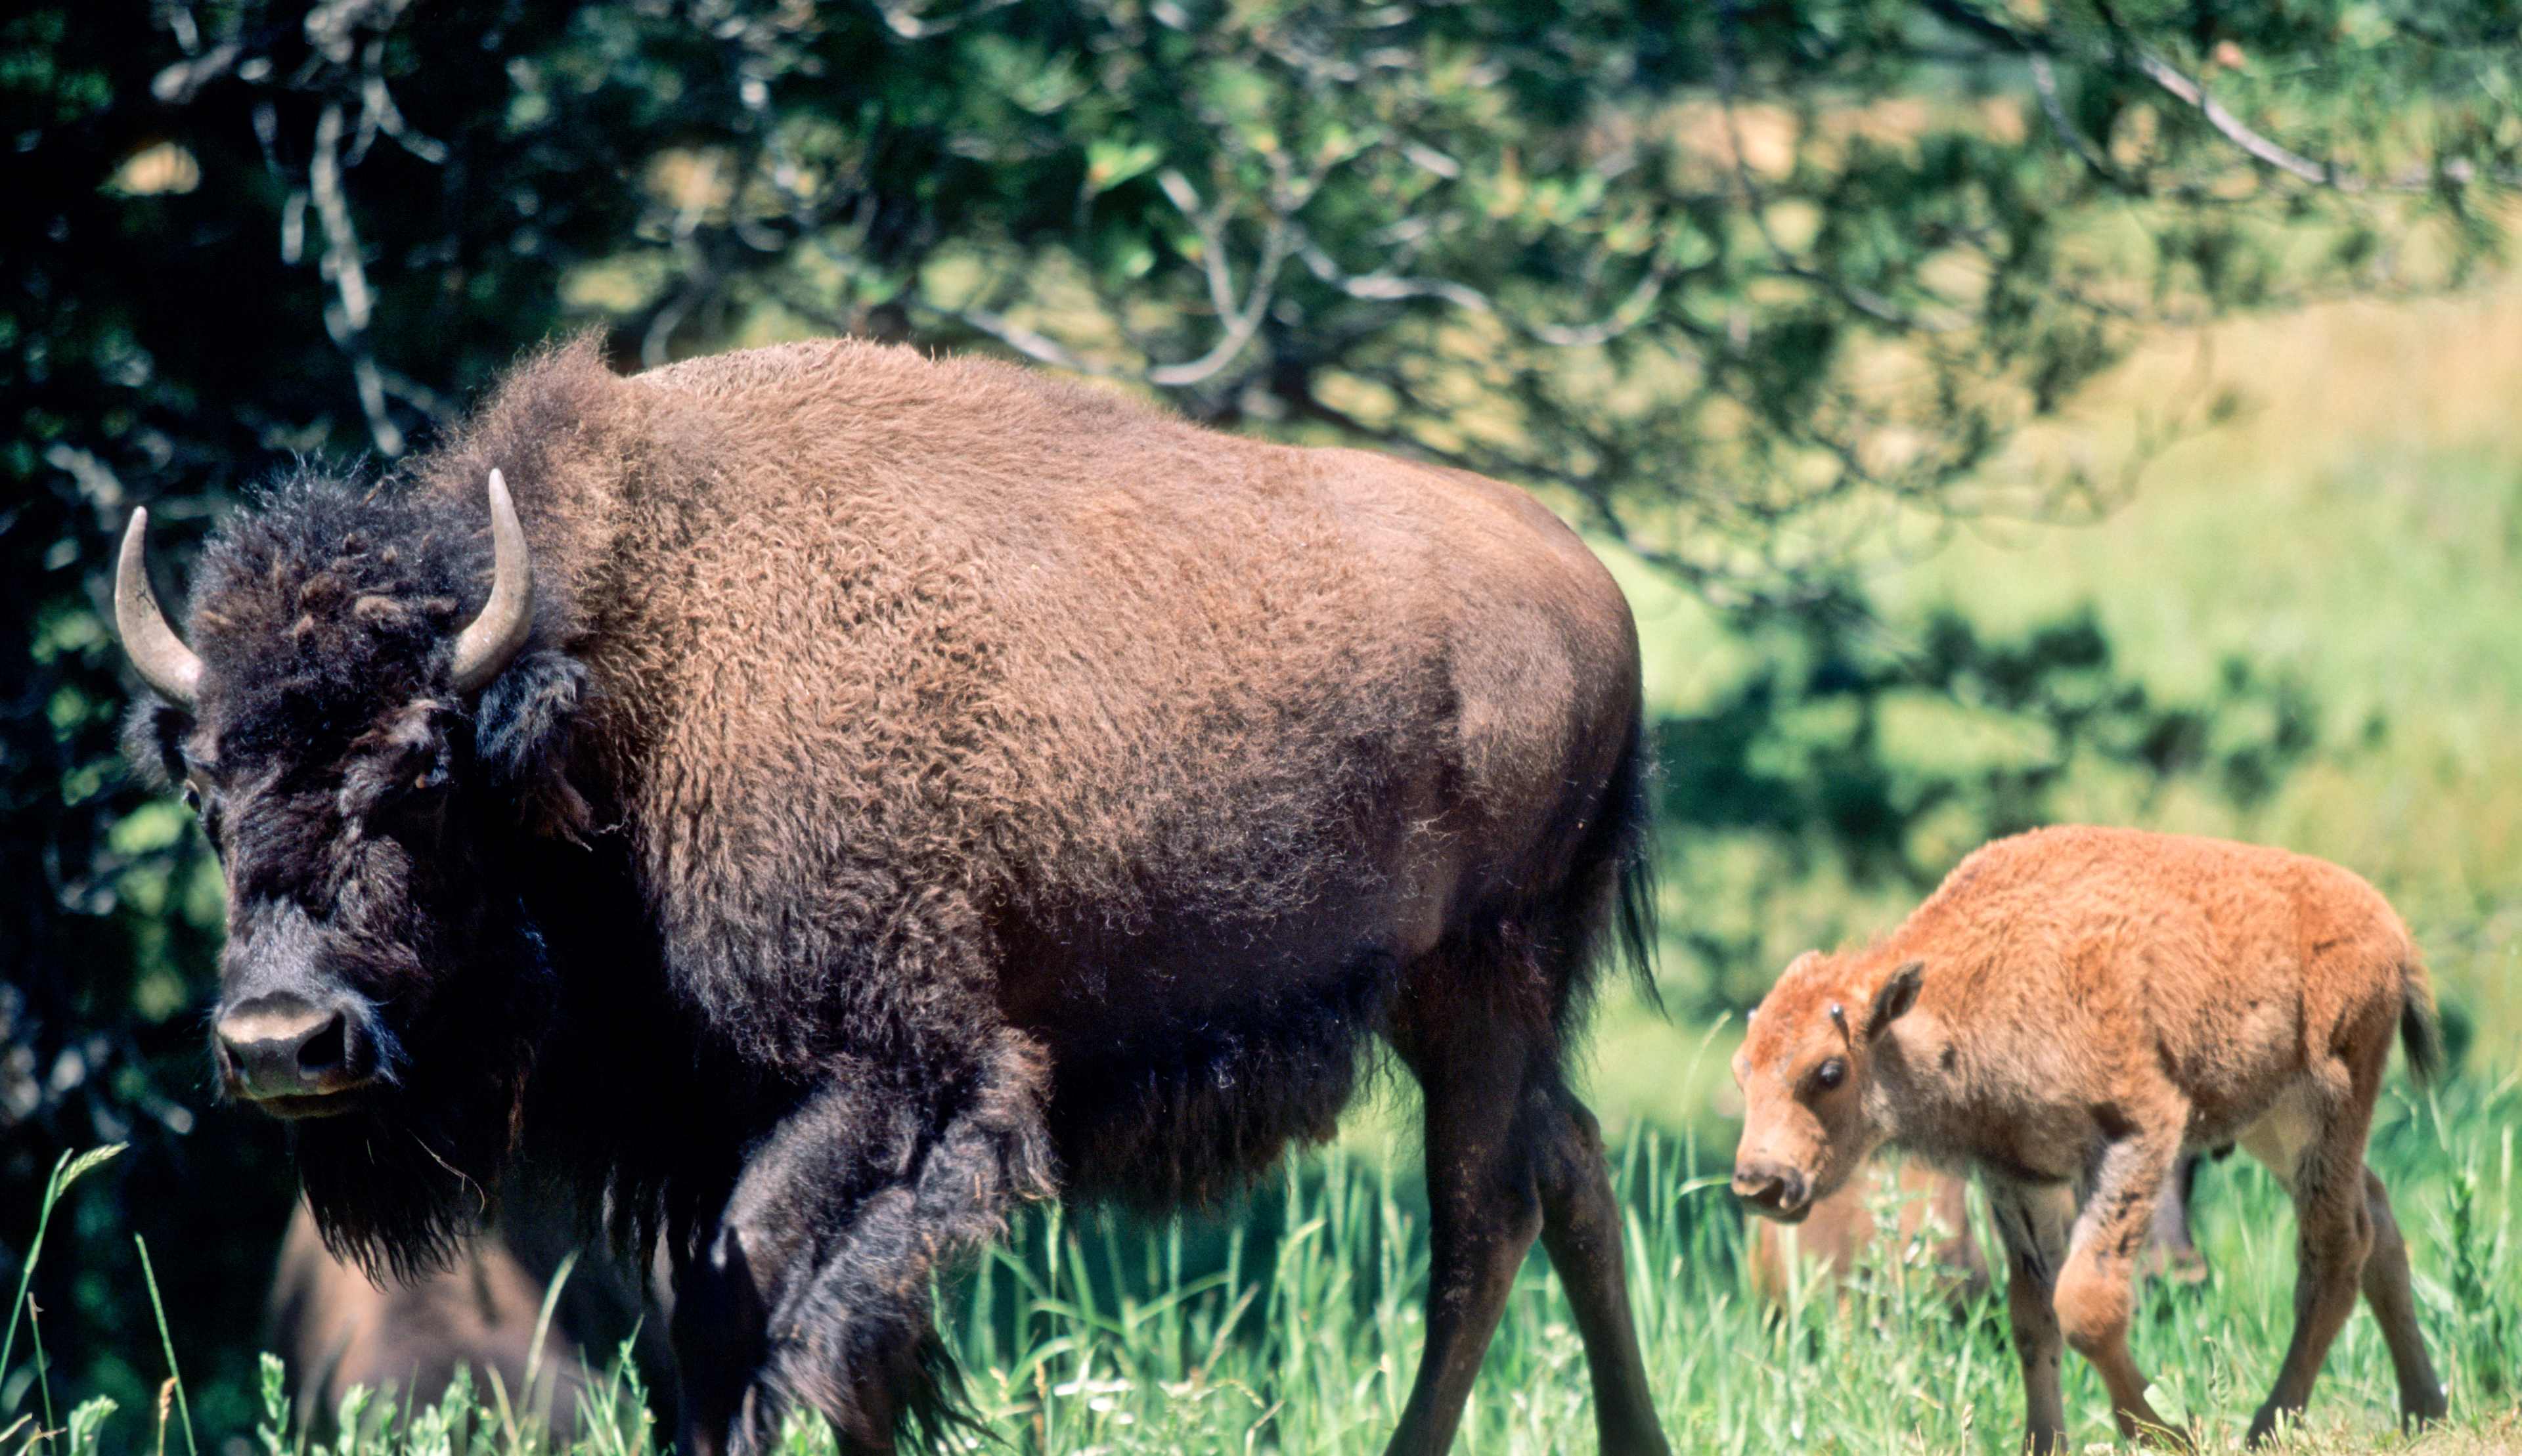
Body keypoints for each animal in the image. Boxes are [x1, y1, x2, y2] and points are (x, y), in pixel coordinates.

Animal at [118, 339, 1667, 1455]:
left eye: (425, 769)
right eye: (205, 787)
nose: (281, 1042)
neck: (630, 686)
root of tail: (1587, 575)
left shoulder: (886, 1077)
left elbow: (753, 1309)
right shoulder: (703, 1117)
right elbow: (757, 1332)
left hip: (1487, 970)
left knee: (1483, 1215)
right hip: (1457, 998)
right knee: (1571, 1164)